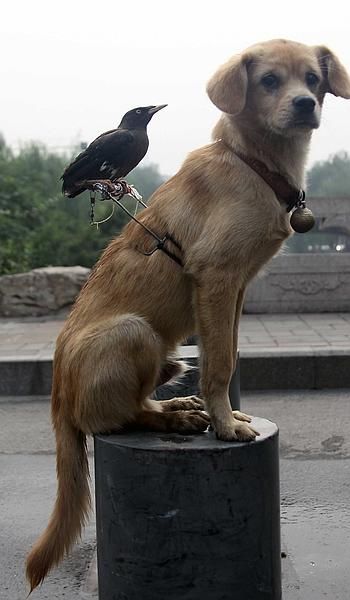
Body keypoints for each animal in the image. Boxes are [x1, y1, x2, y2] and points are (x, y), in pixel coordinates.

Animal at [26, 39, 348, 592]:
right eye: (269, 80)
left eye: (313, 78)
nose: (305, 105)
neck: (255, 163)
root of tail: (57, 394)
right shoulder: (216, 278)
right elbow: (218, 364)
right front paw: (225, 425)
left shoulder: (237, 288)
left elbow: (230, 354)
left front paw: (228, 414)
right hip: (134, 331)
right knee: (113, 419)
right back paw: (177, 418)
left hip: (166, 351)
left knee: (137, 403)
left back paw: (176, 407)